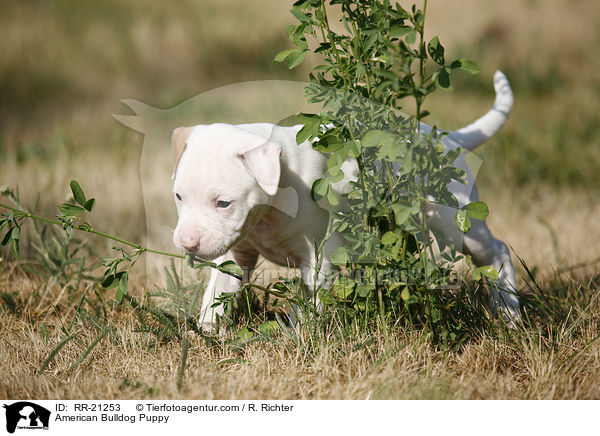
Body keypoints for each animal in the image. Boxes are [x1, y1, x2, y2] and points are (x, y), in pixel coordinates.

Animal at [171, 70, 516, 328]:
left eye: (223, 203)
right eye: (178, 197)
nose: (187, 244)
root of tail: (446, 139)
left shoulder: (319, 259)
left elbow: (310, 306)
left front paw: (301, 340)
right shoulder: (237, 250)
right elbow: (218, 292)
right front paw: (206, 333)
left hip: (455, 220)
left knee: (496, 252)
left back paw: (509, 313)